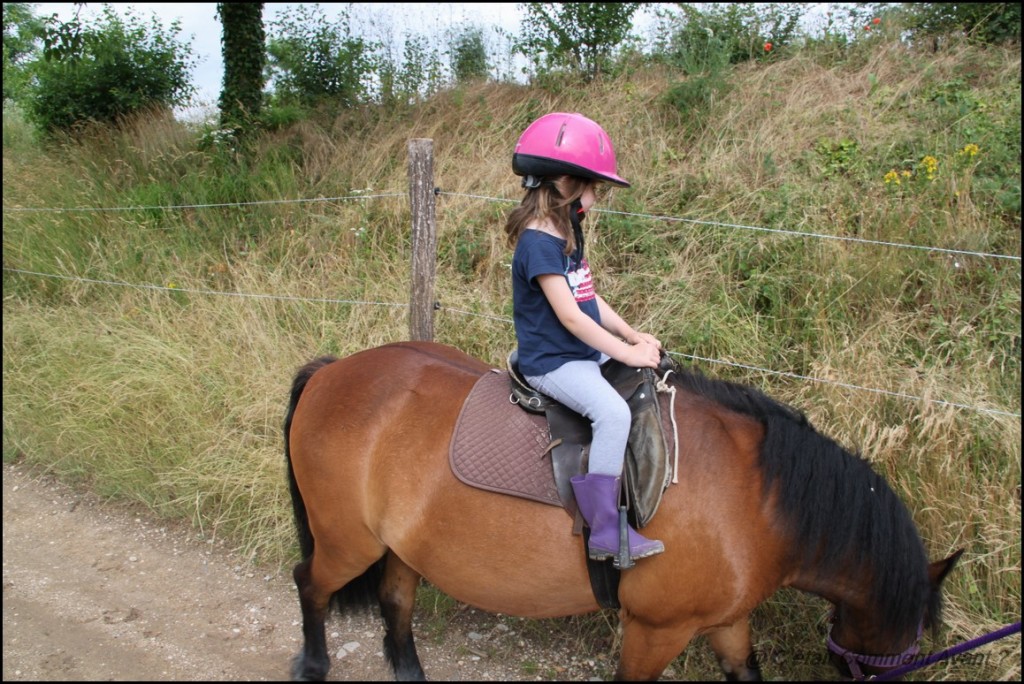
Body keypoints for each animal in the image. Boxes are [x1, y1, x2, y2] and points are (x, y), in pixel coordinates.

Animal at [284, 342, 962, 679]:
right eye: (913, 645)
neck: (757, 498)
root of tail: (333, 371)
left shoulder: (726, 622)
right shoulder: (656, 629)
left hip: (400, 545)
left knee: (396, 602)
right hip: (348, 541)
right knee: (309, 583)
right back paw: (313, 664)